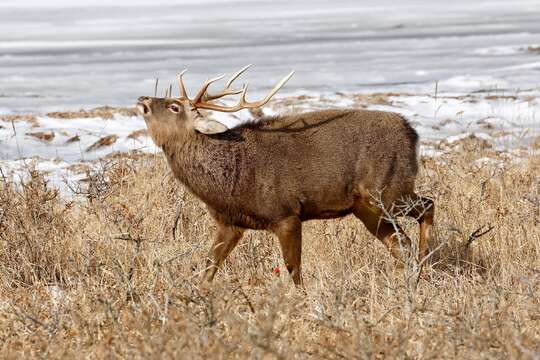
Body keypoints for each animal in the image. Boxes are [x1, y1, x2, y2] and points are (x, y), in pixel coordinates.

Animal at [138, 64, 434, 284]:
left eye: (175, 106)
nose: (143, 98)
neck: (229, 179)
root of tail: (413, 133)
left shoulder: (286, 213)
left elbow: (294, 271)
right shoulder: (229, 222)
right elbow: (209, 267)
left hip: (387, 189)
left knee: (427, 206)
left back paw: (426, 266)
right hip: (366, 207)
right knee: (400, 241)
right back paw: (413, 276)